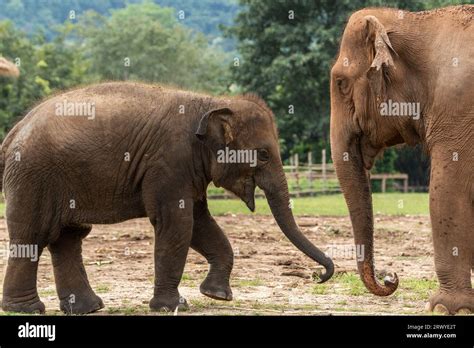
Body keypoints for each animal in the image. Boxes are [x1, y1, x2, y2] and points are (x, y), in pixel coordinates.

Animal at [330, 6, 474, 316]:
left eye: (341, 82)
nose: (391, 277)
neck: (418, 19)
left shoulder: (458, 109)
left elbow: (447, 193)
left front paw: (444, 308)